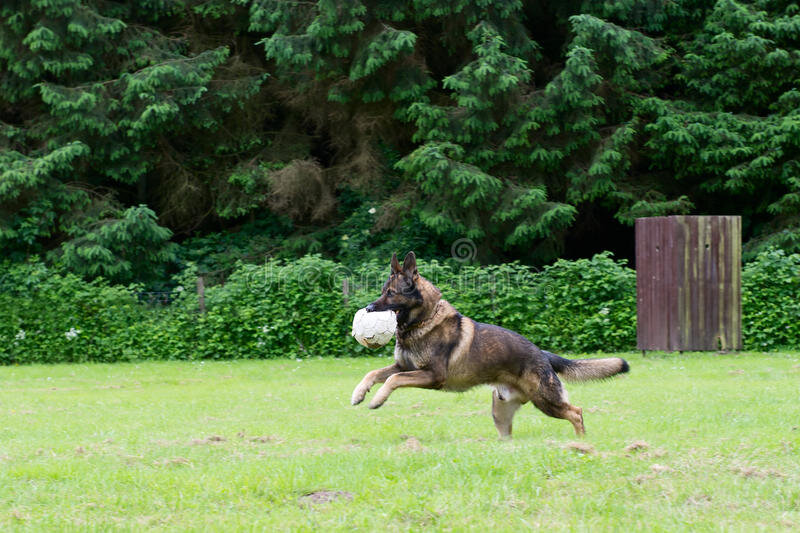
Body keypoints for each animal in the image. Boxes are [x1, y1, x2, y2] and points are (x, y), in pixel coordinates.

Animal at [354, 251, 628, 438]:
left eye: (391, 293)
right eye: (383, 290)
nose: (367, 308)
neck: (424, 320)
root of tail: (542, 354)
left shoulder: (431, 376)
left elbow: (392, 380)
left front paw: (377, 400)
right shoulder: (404, 366)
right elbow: (374, 373)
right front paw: (359, 393)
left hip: (546, 400)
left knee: (576, 412)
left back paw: (581, 443)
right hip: (502, 412)